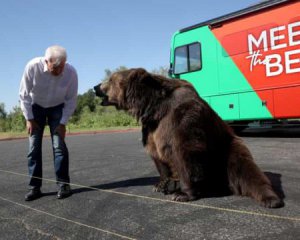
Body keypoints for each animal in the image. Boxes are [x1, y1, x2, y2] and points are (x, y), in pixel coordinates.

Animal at [94, 68, 284, 208]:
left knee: (246, 170)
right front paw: (160, 184)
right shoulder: (152, 129)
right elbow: (157, 155)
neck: (154, 108)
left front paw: (183, 194)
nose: (95, 87)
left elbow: (185, 151)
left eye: (110, 79)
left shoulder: (182, 116)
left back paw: (271, 199)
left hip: (227, 148)